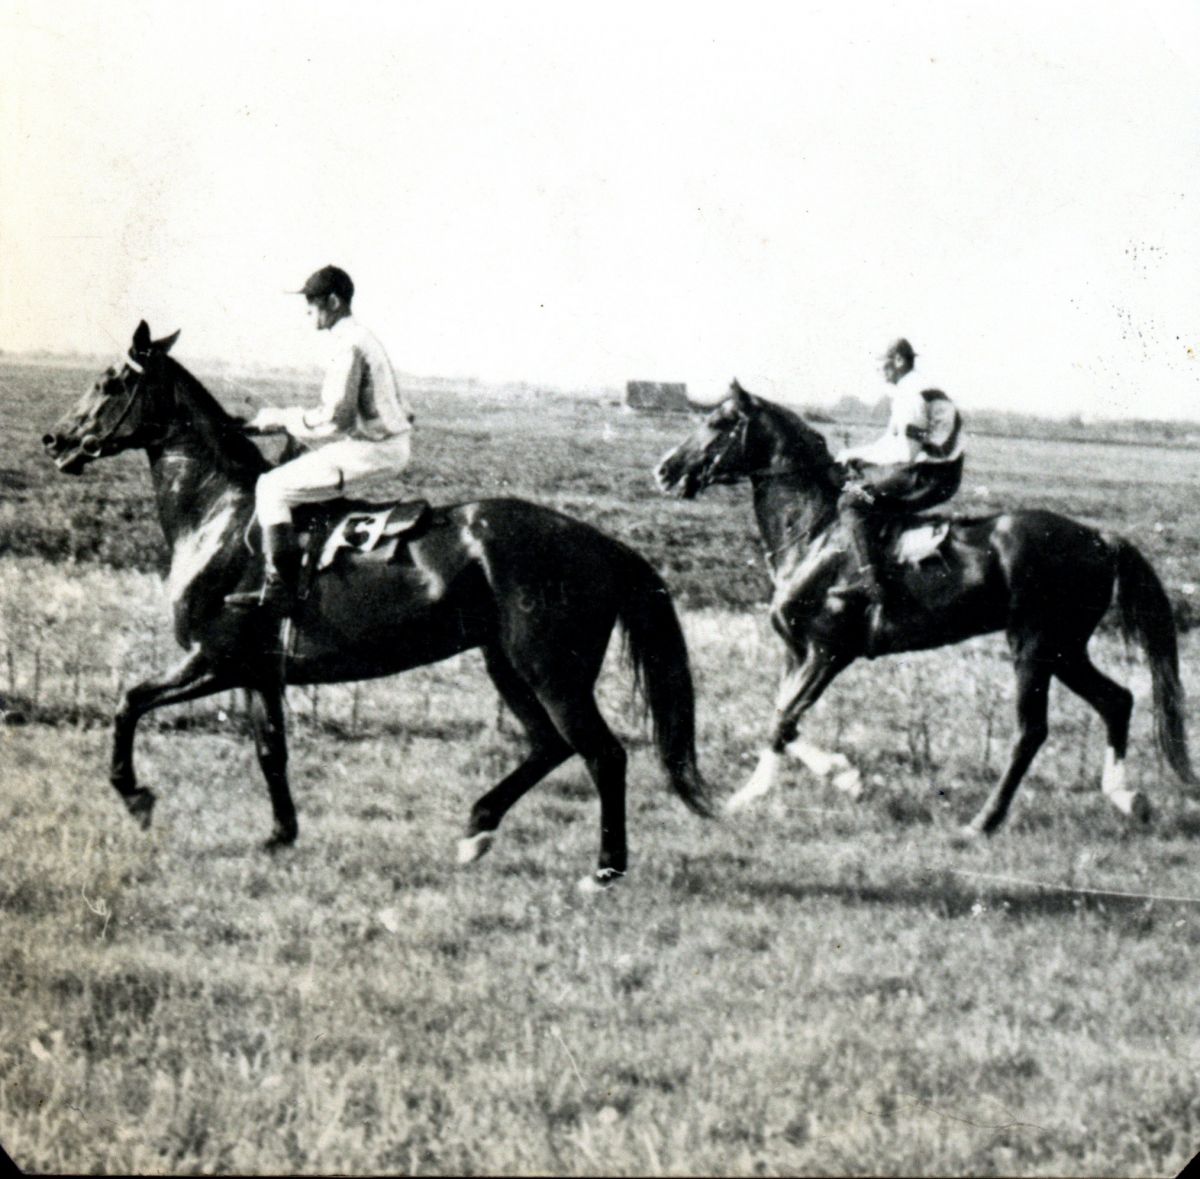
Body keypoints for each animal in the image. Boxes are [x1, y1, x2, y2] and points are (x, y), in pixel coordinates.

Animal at [42, 324, 705, 883]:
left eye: (110, 382)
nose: (55, 439)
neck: (221, 518)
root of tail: (599, 543)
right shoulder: (259, 674)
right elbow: (271, 751)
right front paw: (280, 836)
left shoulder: (214, 661)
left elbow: (128, 702)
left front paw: (135, 796)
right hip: (508, 666)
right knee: (551, 745)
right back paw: (478, 829)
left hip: (552, 672)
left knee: (602, 754)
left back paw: (606, 868)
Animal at [662, 384, 1195, 835]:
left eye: (718, 422)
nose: (664, 470)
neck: (815, 534)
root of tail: (1099, 538)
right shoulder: (796, 653)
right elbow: (782, 719)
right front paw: (795, 784)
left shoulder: (828, 653)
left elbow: (784, 719)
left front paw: (810, 783)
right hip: (1066, 649)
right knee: (1117, 700)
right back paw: (1127, 797)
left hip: (1034, 646)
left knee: (1031, 731)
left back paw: (984, 821)